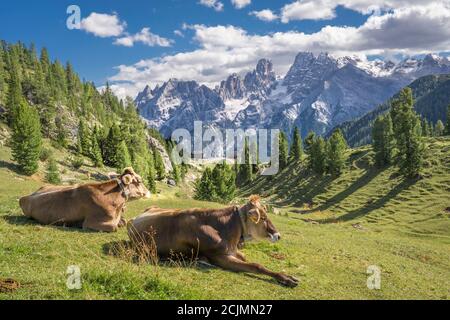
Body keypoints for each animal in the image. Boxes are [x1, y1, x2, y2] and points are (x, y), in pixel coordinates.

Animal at [20, 168, 150, 232]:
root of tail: (26, 196)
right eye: (139, 181)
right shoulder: (90, 223)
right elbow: (115, 227)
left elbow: (123, 221)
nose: (149, 192)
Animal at [127, 195, 298, 288]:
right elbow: (256, 266)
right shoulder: (220, 257)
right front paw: (286, 278)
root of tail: (133, 218)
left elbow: (246, 258)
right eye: (262, 218)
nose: (278, 235)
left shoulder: (233, 251)